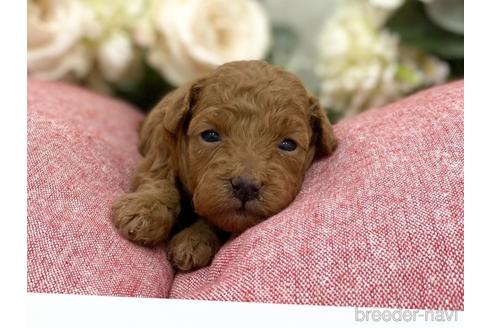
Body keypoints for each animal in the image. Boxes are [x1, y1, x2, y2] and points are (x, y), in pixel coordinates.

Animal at [111, 60, 336, 270]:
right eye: (210, 135)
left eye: (288, 144)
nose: (246, 186)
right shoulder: (161, 147)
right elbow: (158, 178)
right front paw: (144, 212)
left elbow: (216, 219)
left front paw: (194, 241)